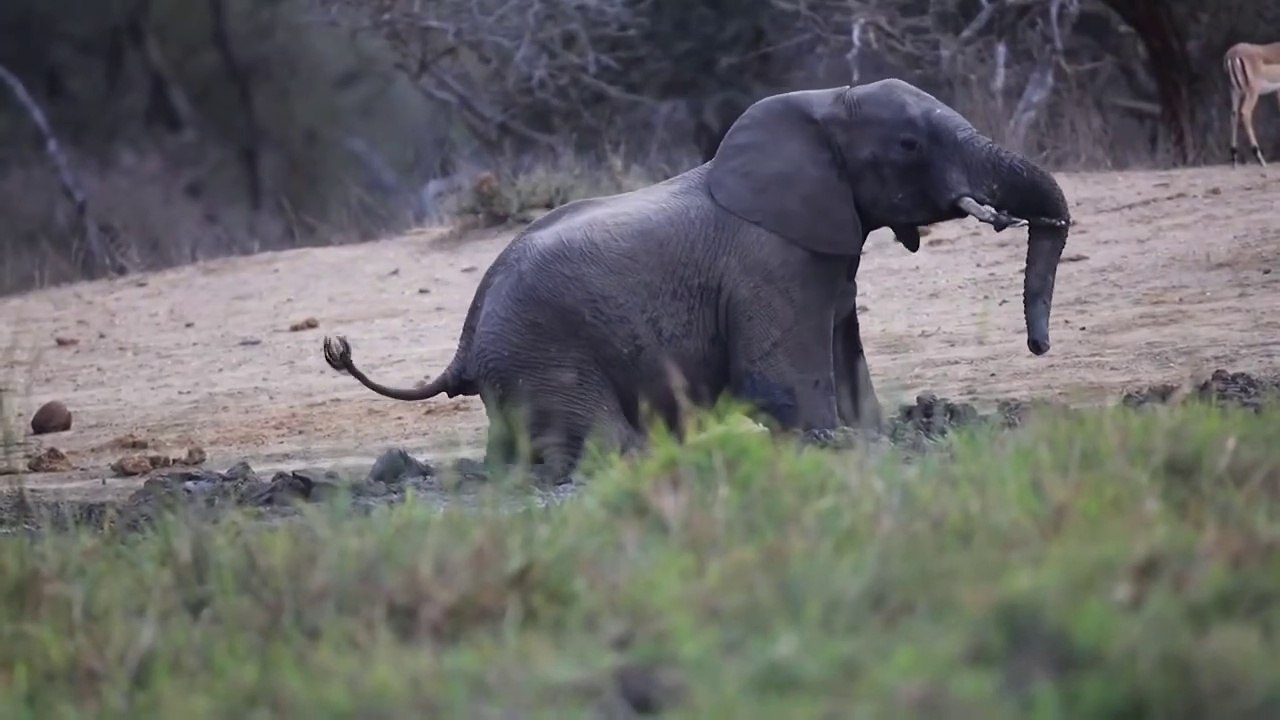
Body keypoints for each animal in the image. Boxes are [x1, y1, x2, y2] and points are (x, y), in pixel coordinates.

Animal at [322, 78, 1072, 483]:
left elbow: (844, 357)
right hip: (544, 351)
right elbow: (778, 380)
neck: (825, 102)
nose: (1040, 347)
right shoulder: (769, 264)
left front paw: (872, 438)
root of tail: (465, 344)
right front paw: (830, 446)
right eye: (909, 146)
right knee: (612, 444)